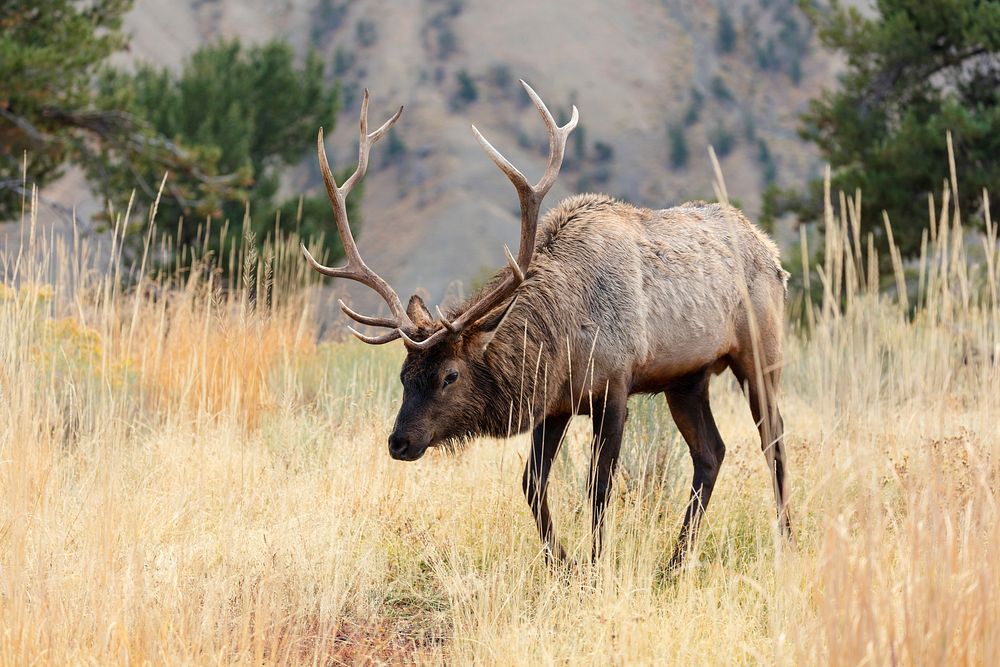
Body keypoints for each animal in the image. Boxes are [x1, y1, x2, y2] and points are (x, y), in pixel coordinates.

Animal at [300, 81, 792, 568]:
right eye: (404, 376)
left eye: (449, 376)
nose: (399, 442)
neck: (564, 337)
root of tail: (772, 253)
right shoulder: (554, 403)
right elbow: (532, 483)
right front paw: (562, 563)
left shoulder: (615, 387)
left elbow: (598, 486)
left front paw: (595, 565)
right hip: (686, 379)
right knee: (711, 452)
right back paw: (674, 561)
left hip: (760, 354)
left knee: (773, 436)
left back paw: (786, 538)